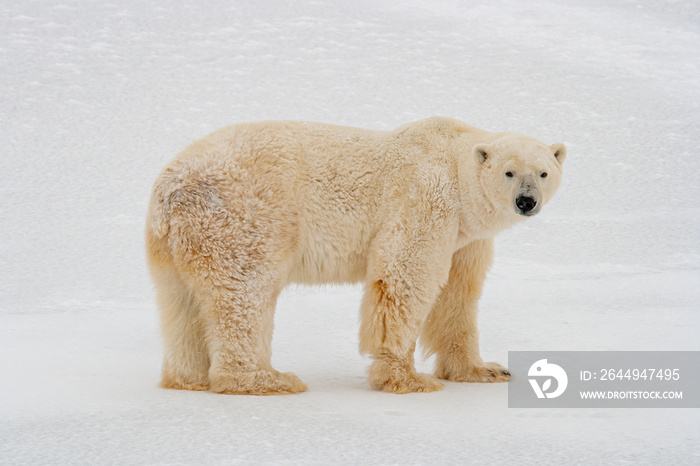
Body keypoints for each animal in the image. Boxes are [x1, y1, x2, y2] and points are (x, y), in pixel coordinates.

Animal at [145, 115, 568, 394]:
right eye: (510, 172)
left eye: (543, 172)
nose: (526, 201)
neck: (454, 164)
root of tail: (171, 189)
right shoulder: (424, 199)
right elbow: (404, 276)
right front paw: (407, 378)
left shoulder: (466, 238)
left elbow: (457, 296)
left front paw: (484, 370)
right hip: (244, 217)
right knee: (245, 293)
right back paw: (267, 379)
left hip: (176, 240)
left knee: (180, 302)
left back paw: (188, 378)